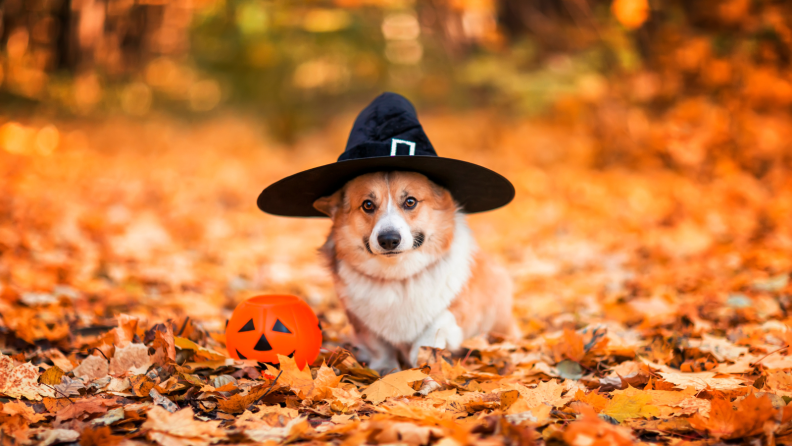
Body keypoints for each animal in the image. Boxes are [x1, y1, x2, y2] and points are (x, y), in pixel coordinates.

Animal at [312, 170, 516, 370]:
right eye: (367, 205)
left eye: (410, 201)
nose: (388, 240)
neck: (398, 276)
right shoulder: (362, 322)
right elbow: (379, 346)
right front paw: (385, 369)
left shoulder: (461, 307)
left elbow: (437, 324)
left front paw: (423, 359)